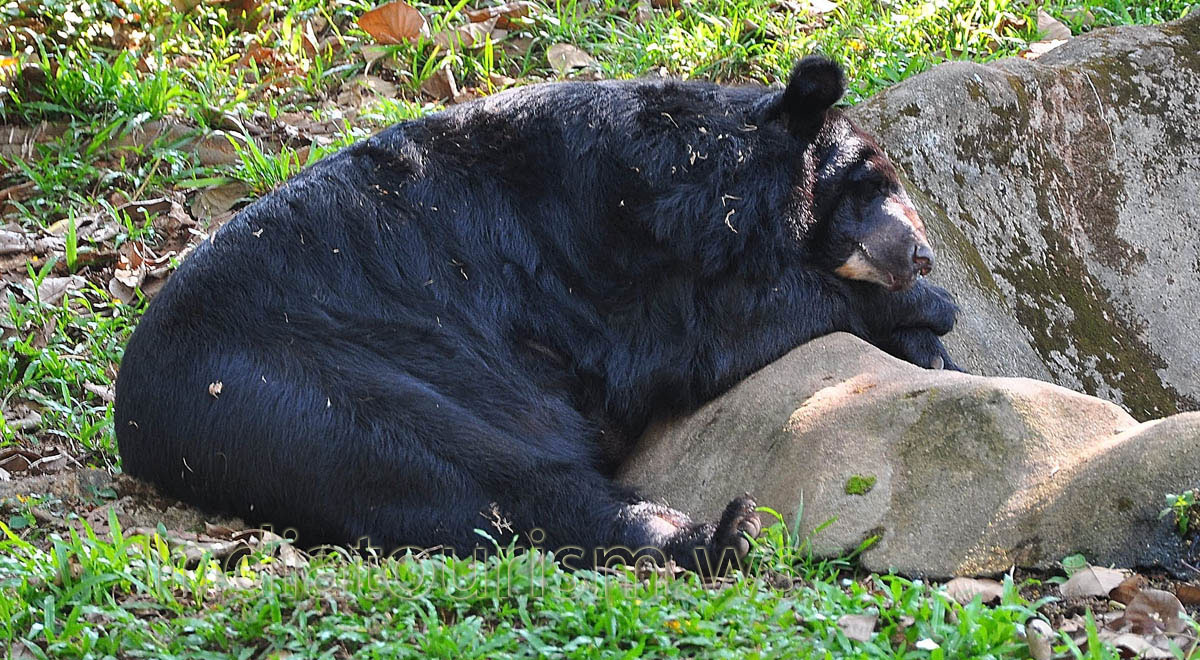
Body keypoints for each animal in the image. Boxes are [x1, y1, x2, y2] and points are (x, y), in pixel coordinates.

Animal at [114, 56, 959, 575]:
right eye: (870, 184)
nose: (919, 255)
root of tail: (137, 422)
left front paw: (929, 339)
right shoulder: (599, 243)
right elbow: (692, 339)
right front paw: (926, 313)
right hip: (293, 386)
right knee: (463, 472)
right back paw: (712, 534)